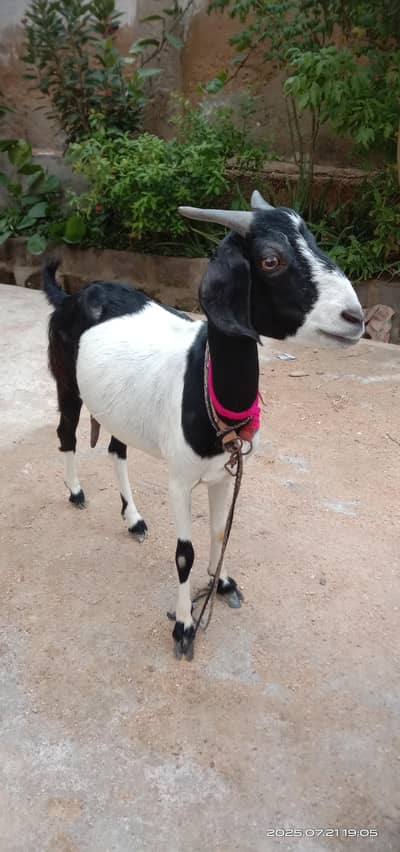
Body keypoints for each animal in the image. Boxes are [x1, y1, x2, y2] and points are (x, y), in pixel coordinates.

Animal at [43, 191, 364, 659]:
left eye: (314, 240)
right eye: (270, 260)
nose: (354, 317)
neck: (205, 378)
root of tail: (69, 296)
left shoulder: (223, 474)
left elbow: (219, 530)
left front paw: (223, 582)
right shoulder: (180, 479)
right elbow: (185, 553)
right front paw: (184, 625)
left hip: (119, 409)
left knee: (116, 449)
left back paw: (133, 519)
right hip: (67, 382)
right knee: (66, 435)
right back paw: (76, 493)